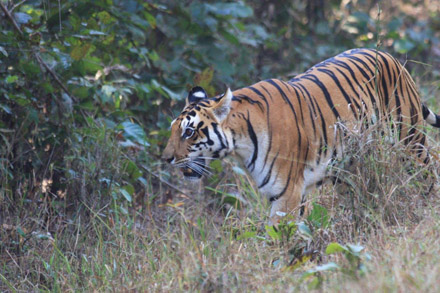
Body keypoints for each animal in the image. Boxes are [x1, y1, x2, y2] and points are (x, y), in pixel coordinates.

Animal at [162, 49, 440, 225]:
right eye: (174, 130)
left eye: (189, 131)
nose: (165, 159)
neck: (241, 142)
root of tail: (391, 57)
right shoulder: (291, 193)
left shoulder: (286, 193)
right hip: (351, 168)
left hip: (410, 143)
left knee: (428, 175)